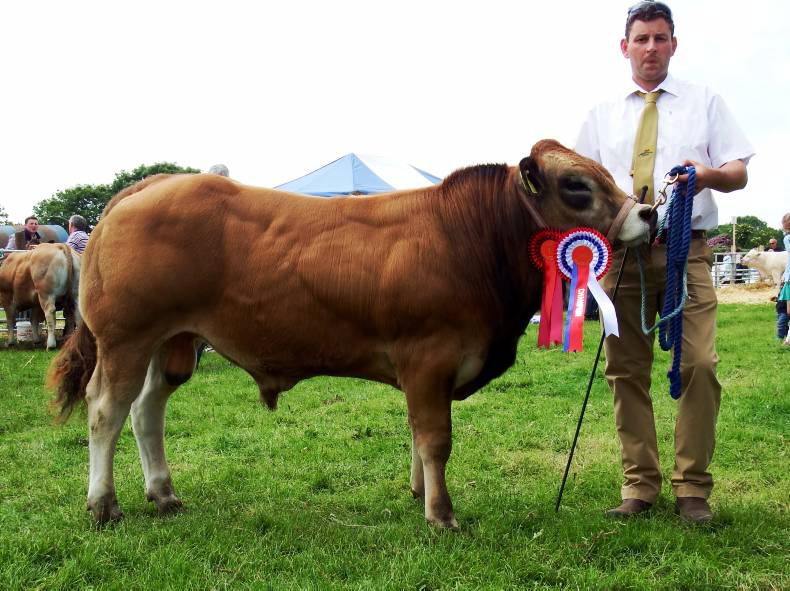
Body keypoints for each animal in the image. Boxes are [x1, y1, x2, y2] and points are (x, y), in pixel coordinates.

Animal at [48, 140, 653, 528]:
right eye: (575, 185)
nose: (647, 211)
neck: (468, 238)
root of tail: (154, 183)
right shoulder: (430, 359)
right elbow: (436, 439)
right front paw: (441, 515)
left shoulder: (424, 372)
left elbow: (417, 434)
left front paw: (418, 494)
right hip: (125, 339)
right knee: (106, 411)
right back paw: (104, 505)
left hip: (172, 342)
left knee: (146, 410)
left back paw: (164, 494)